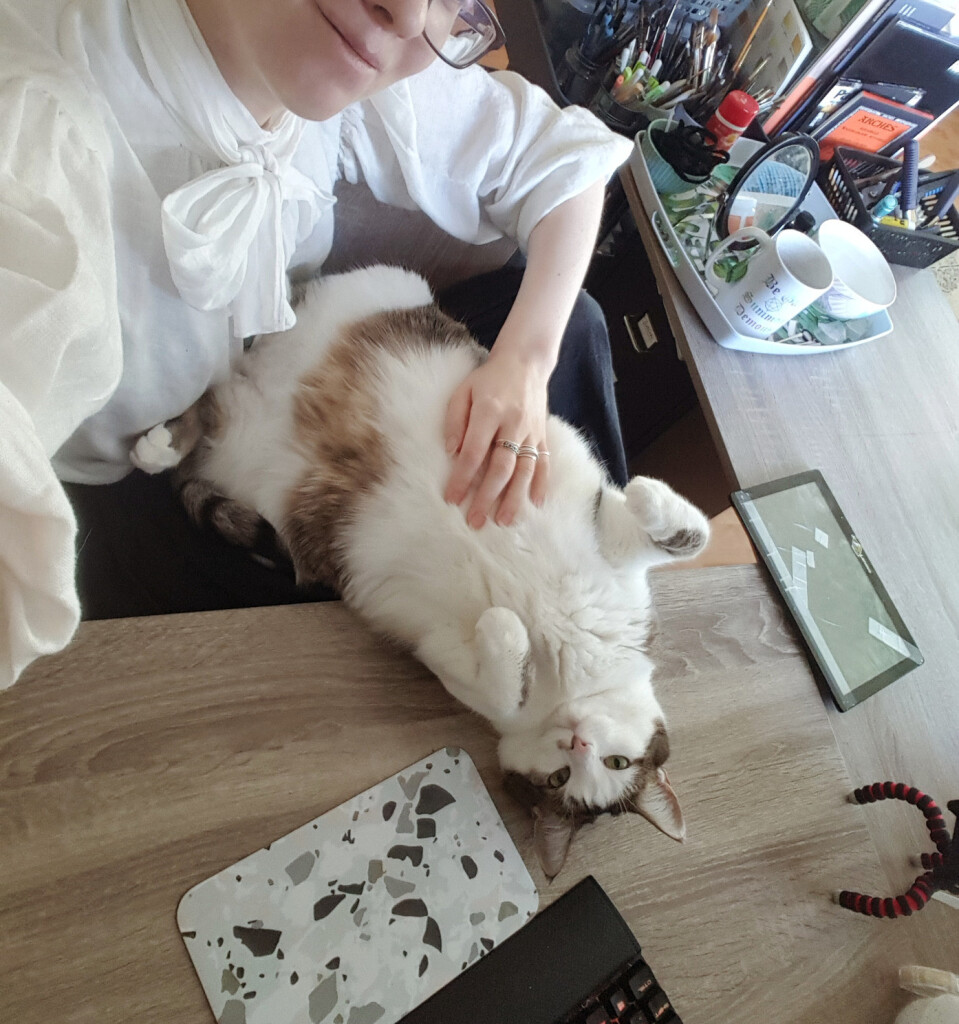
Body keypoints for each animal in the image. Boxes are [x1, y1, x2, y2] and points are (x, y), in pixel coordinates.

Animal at [131, 266, 708, 880]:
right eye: (609, 763)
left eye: (573, 777)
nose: (576, 743)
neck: (569, 675)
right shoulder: (611, 547)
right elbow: (686, 534)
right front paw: (646, 494)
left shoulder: (441, 656)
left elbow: (501, 682)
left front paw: (504, 628)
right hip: (377, 297)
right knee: (227, 377)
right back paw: (167, 431)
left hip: (246, 460)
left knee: (211, 409)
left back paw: (161, 445)